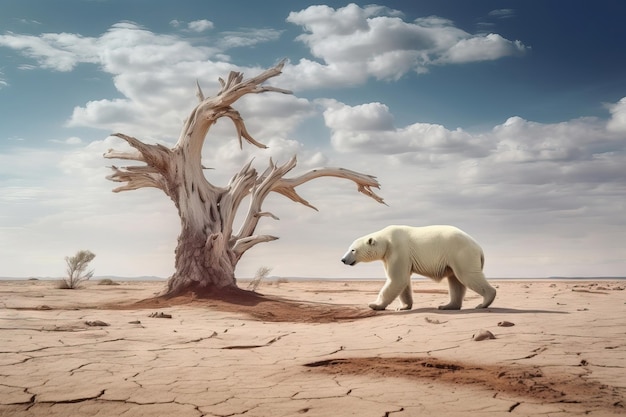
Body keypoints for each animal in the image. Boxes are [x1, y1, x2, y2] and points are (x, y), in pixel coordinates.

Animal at [342, 224, 492, 308]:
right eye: (349, 248)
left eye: (353, 250)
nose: (343, 259)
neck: (386, 239)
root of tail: (479, 248)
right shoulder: (391, 256)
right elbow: (403, 281)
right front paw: (404, 306)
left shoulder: (398, 249)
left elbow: (397, 279)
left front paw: (374, 304)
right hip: (455, 258)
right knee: (455, 281)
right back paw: (447, 306)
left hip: (461, 253)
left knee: (468, 276)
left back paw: (484, 302)